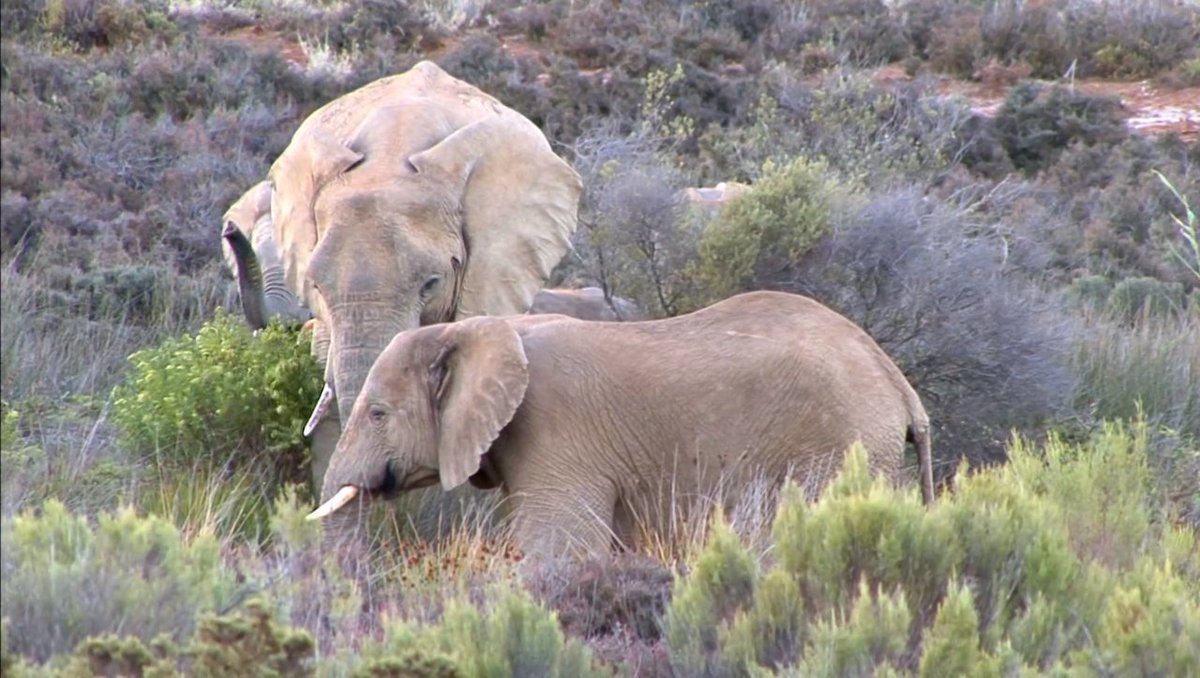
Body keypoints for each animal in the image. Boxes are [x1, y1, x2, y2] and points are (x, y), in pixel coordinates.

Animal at [306, 290, 934, 560]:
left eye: (377, 413)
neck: (486, 327)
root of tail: (900, 386)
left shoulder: (556, 431)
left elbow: (559, 551)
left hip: (840, 444)